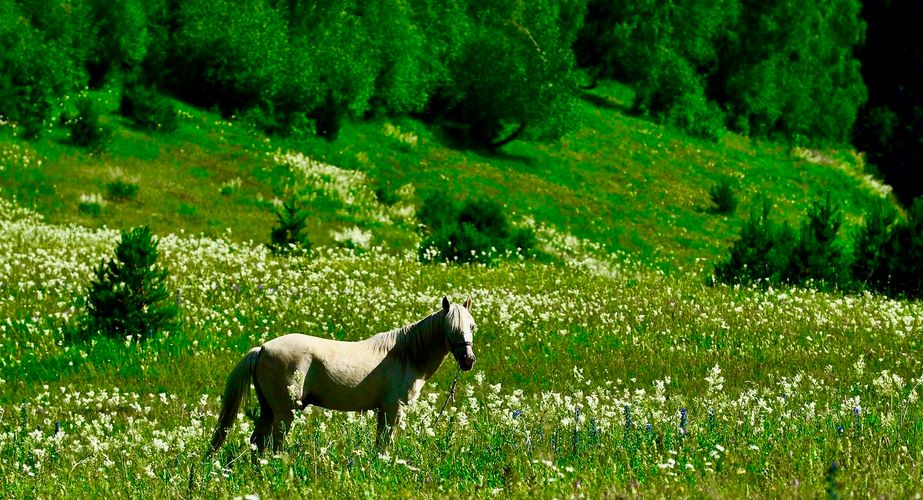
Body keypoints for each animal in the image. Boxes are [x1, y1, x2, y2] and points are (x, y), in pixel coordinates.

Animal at [209, 296, 477, 454]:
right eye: (451, 327)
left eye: (472, 326)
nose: (468, 360)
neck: (406, 354)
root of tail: (262, 348)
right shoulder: (393, 409)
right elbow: (386, 442)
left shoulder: (384, 410)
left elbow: (380, 442)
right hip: (285, 412)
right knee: (275, 444)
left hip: (268, 409)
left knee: (258, 442)